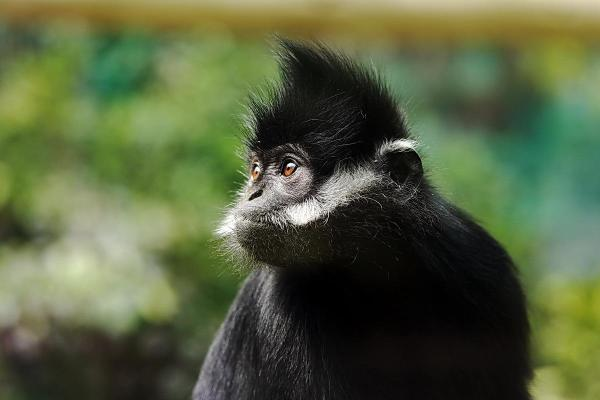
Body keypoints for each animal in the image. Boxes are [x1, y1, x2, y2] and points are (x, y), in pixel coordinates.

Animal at [193, 40, 532, 400]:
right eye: (256, 170)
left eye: (288, 168)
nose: (252, 195)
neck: (378, 276)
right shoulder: (278, 298)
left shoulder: (484, 271)